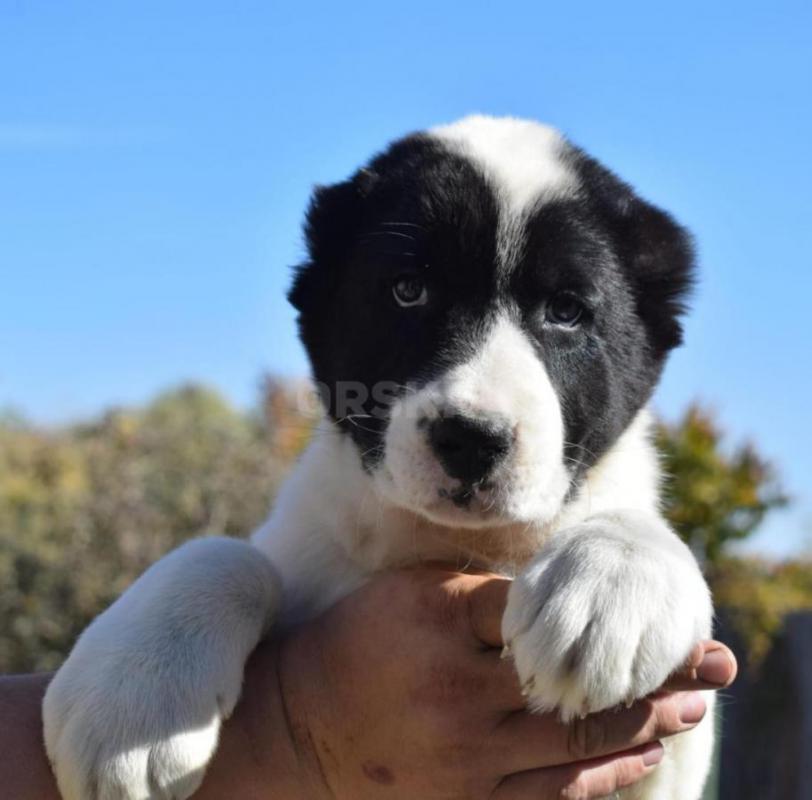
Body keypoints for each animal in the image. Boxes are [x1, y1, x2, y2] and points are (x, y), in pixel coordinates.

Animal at [46, 117, 716, 800]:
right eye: (408, 291)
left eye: (566, 311)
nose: (471, 438)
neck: (452, 542)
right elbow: (227, 553)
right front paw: (131, 700)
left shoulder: (657, 750)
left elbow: (634, 529)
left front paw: (611, 581)